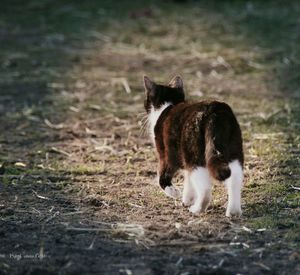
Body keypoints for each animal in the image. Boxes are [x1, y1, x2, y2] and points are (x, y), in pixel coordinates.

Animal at [143, 75, 244, 218]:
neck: (168, 104)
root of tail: (214, 111)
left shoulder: (165, 154)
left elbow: (162, 175)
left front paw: (175, 193)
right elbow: (188, 180)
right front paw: (187, 199)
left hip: (193, 155)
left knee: (205, 188)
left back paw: (197, 209)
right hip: (233, 151)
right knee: (235, 178)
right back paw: (233, 211)